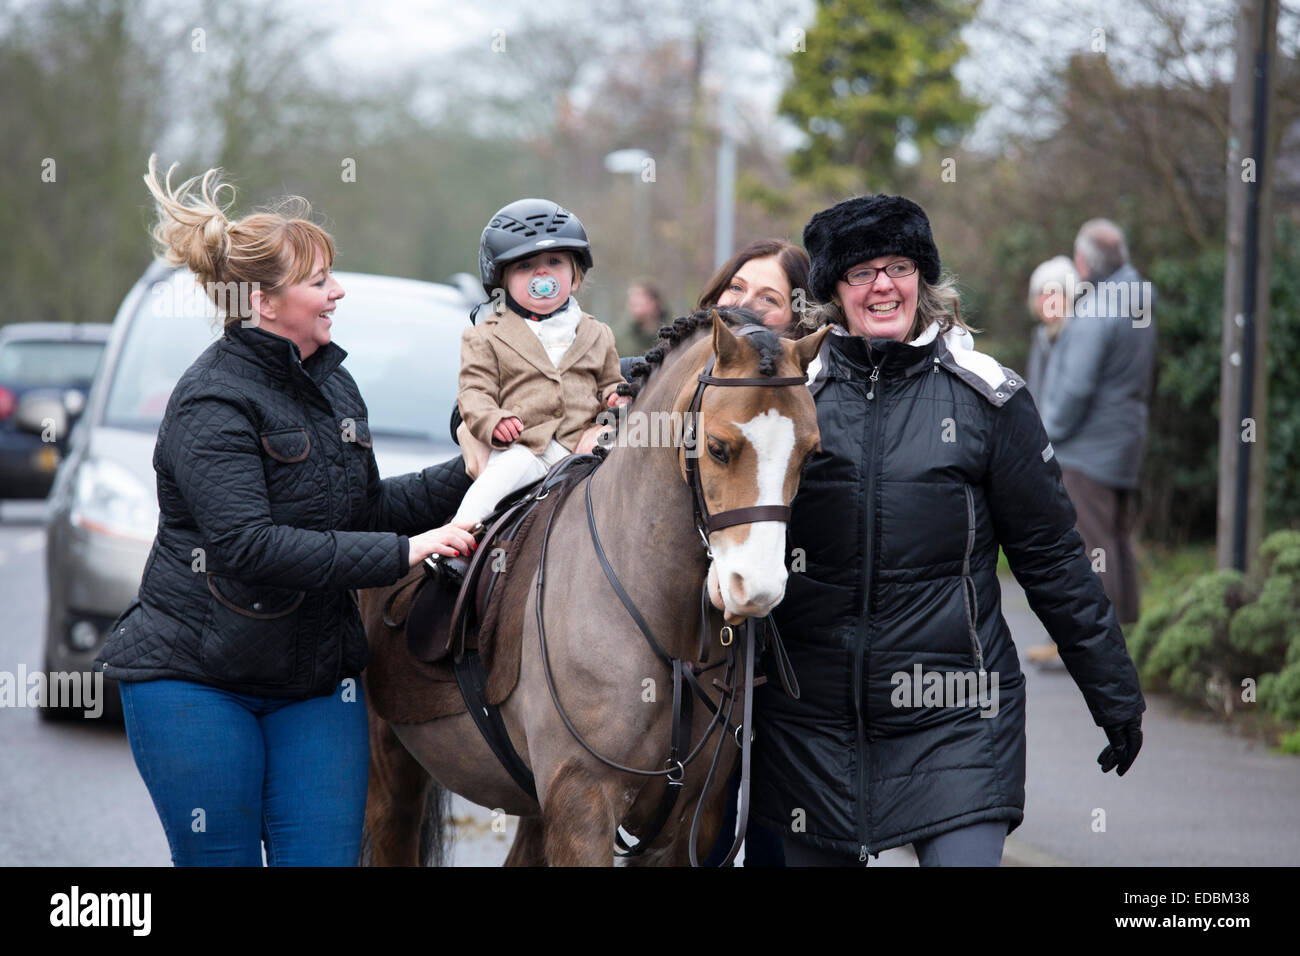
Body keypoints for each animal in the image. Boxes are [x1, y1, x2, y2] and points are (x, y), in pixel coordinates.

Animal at [358, 310, 821, 863]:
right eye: (717, 448)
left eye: (809, 455)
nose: (755, 588)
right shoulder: (582, 804)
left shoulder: (685, 821)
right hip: (391, 766)